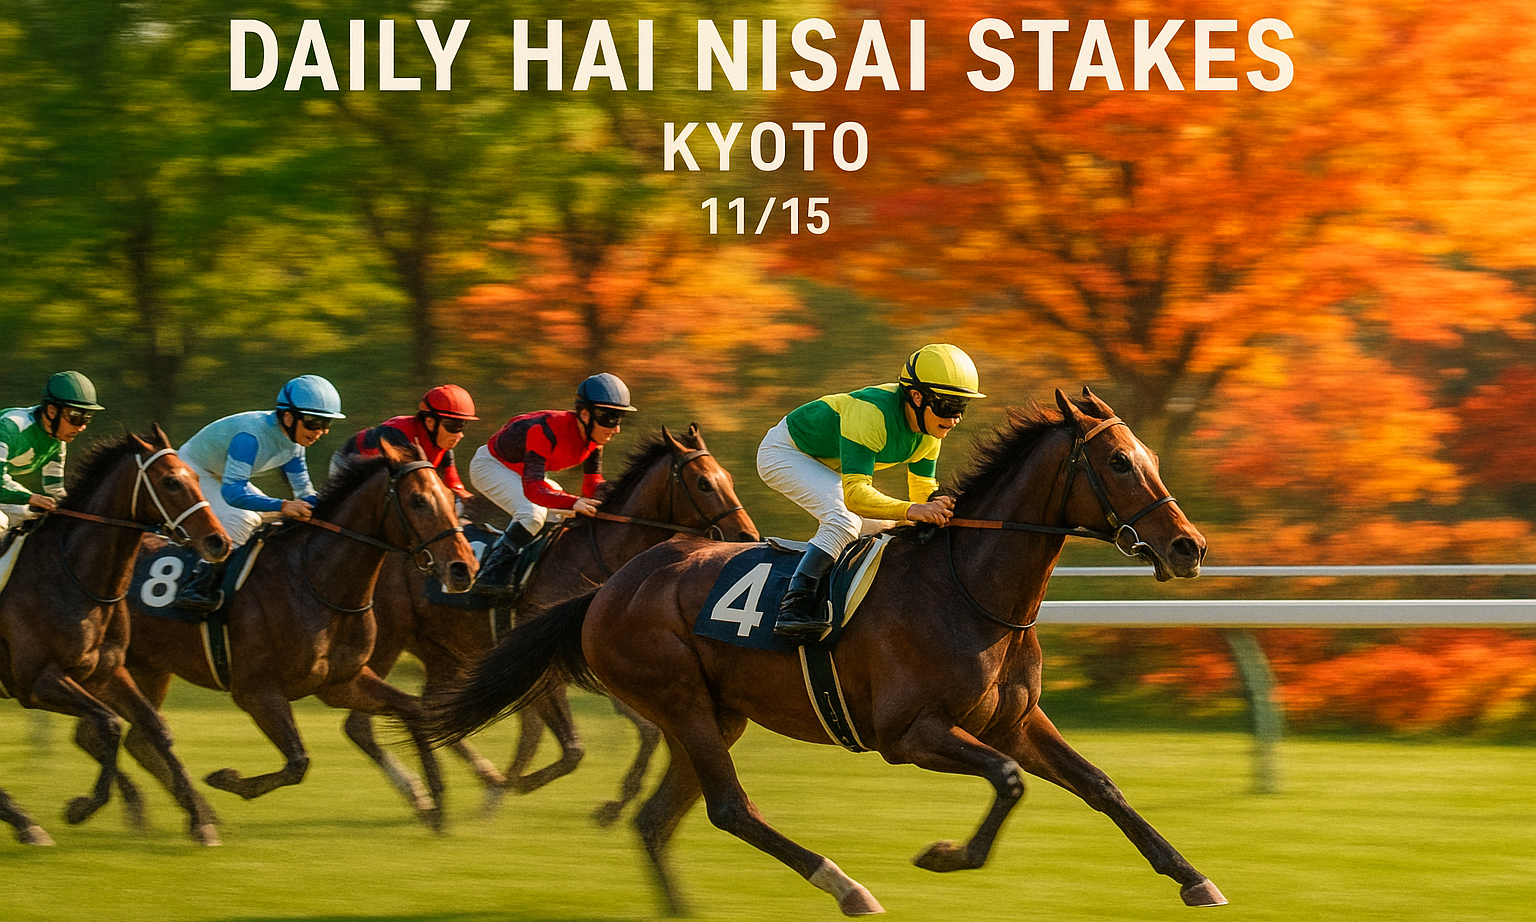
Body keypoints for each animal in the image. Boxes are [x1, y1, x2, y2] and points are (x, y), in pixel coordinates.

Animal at [0, 427, 229, 846]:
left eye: (195, 476)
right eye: (170, 481)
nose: (217, 542)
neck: (76, 579)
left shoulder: (107, 673)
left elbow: (154, 728)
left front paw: (200, 822)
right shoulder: (36, 681)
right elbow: (109, 725)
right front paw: (82, 807)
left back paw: (23, 822)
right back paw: (25, 821)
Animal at [111, 437, 477, 831]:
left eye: (449, 495)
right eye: (418, 500)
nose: (463, 569)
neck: (315, 581)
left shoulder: (341, 682)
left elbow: (414, 710)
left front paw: (435, 803)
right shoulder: (256, 691)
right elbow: (299, 762)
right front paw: (227, 778)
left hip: (150, 668)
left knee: (136, 739)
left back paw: (192, 814)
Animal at [348, 424, 759, 822]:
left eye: (727, 478)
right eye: (704, 483)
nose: (747, 536)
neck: (596, 555)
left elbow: (645, 733)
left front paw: (613, 805)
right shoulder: (551, 671)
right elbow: (572, 748)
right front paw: (510, 788)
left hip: (444, 653)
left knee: (432, 711)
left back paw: (470, 782)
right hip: (386, 640)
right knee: (362, 723)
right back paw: (429, 796)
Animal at [424, 388, 1223, 915]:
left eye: (1148, 456)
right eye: (1117, 463)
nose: (1189, 547)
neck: (970, 589)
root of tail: (606, 589)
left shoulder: (1015, 721)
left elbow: (1100, 785)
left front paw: (1194, 877)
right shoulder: (909, 734)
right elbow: (1008, 782)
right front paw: (945, 856)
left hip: (712, 715)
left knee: (661, 820)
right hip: (681, 701)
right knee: (730, 808)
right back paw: (846, 886)